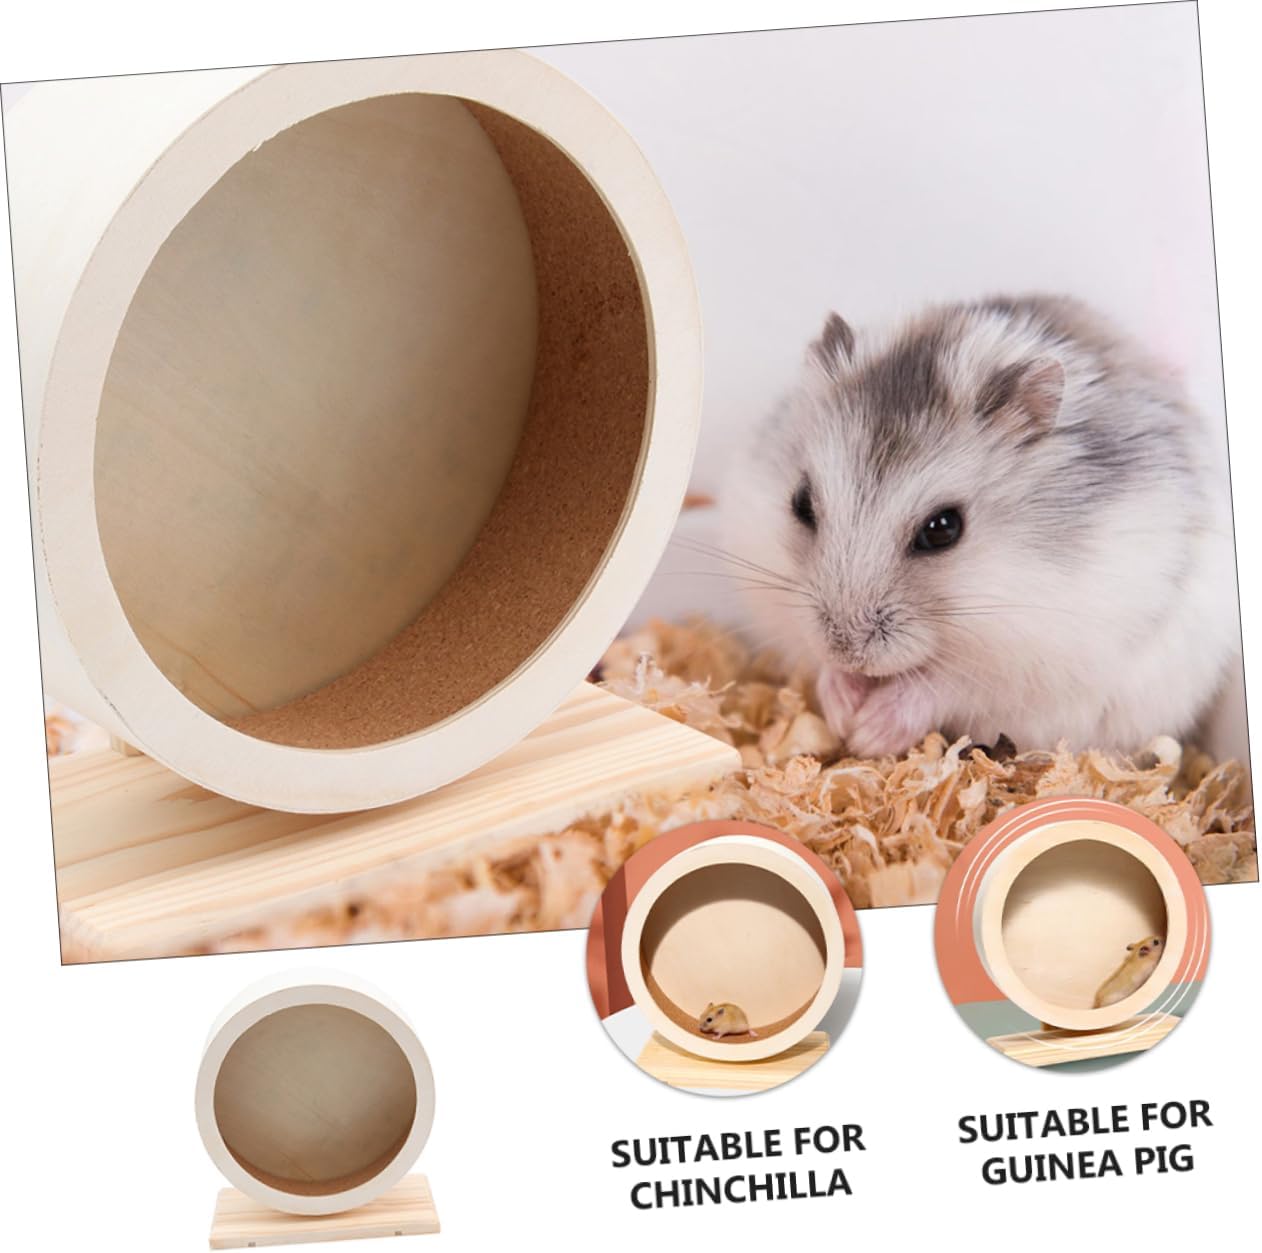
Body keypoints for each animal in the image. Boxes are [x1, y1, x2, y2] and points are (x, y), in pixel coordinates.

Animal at [723, 295, 1239, 757]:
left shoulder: (1036, 658)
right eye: (801, 503)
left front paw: (868, 733)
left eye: (943, 529)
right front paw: (842, 709)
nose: (846, 650)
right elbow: (813, 658)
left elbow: (944, 684)